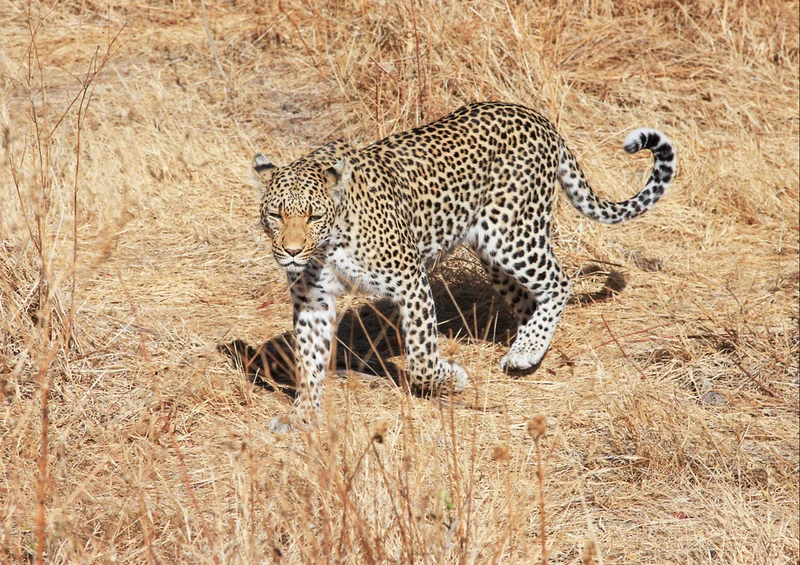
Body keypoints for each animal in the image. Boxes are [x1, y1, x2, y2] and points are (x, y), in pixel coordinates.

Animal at [251, 101, 675, 432]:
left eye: (313, 216)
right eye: (275, 214)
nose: (291, 252)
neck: (328, 243)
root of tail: (537, 118)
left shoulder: (410, 280)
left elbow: (421, 357)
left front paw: (449, 378)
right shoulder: (313, 300)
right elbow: (308, 360)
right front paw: (303, 415)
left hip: (512, 236)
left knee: (559, 282)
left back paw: (526, 351)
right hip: (493, 254)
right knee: (528, 300)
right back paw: (527, 347)